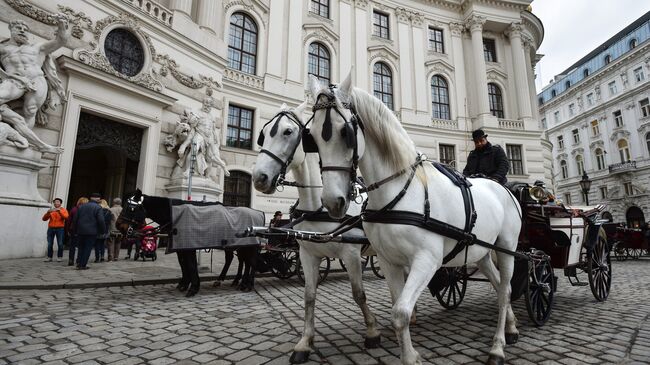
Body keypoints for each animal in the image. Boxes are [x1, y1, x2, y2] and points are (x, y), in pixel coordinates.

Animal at [116, 189, 260, 294]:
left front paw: (193, 287)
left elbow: (190, 264)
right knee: (241, 261)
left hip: (248, 246)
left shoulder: (189, 246)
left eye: (131, 208)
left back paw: (248, 284)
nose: (118, 226)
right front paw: (184, 283)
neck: (175, 214)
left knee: (251, 262)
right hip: (240, 246)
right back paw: (235, 281)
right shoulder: (181, 246)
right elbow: (183, 264)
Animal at [249, 101, 380, 362]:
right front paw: (305, 342)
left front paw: (372, 331)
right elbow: (309, 296)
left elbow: (358, 293)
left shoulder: (351, 255)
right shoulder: (308, 255)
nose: (259, 178)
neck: (318, 206)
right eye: (263, 133)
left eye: (288, 132)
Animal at [306, 72, 524, 364]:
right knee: (500, 285)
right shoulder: (389, 262)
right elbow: (398, 309)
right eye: (312, 137)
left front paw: (410, 356)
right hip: (481, 252)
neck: (399, 192)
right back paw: (511, 327)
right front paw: (408, 351)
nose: (332, 201)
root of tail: (502, 187)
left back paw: (498, 346)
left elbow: (400, 313)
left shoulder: (427, 261)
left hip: (507, 247)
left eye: (345, 133)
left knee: (506, 290)